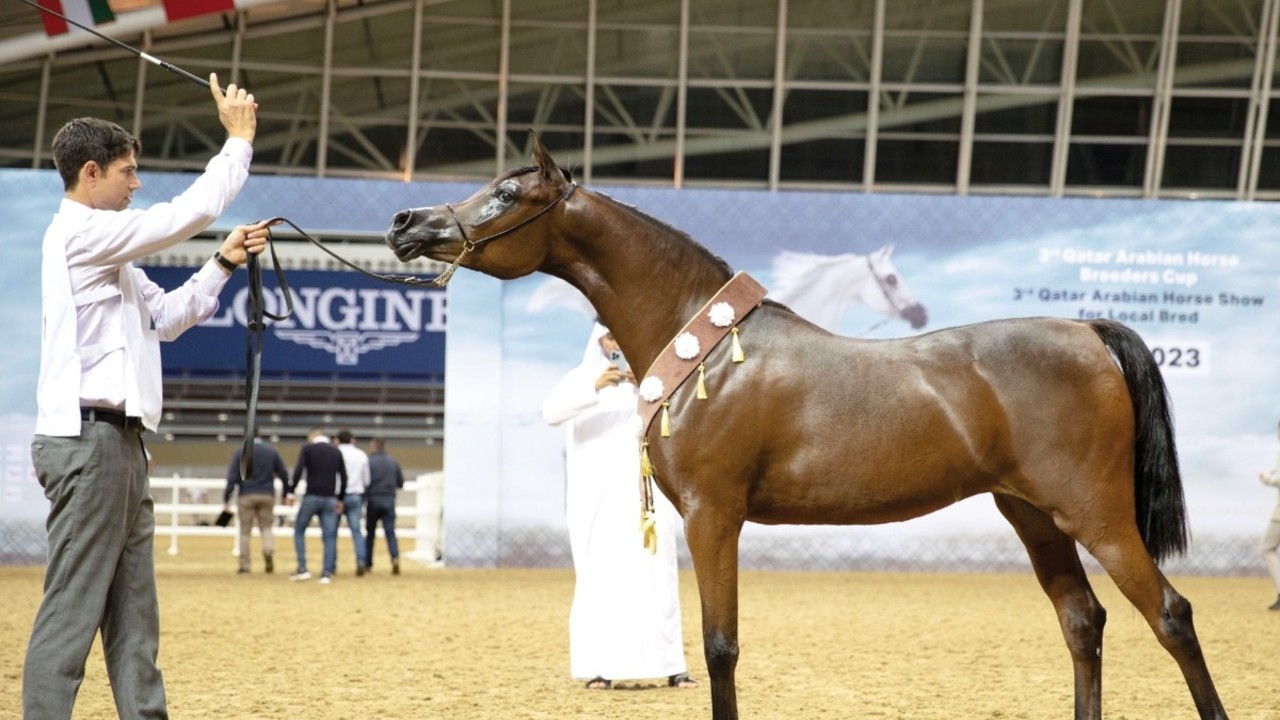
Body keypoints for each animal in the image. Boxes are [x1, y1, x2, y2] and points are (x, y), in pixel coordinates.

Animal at [381, 135, 1228, 717]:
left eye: (505, 195)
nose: (405, 221)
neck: (708, 348)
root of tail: (1087, 330)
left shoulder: (716, 515)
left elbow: (720, 648)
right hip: (1032, 515)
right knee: (1083, 622)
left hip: (1096, 514)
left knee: (1171, 616)